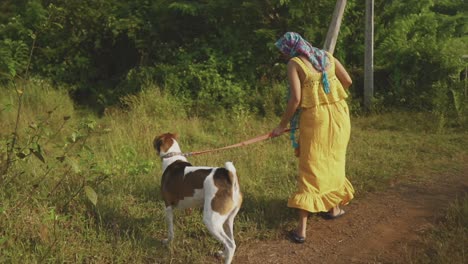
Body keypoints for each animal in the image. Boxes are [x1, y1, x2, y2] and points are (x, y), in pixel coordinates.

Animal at [154, 134, 243, 264]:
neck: (172, 157)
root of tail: (229, 177)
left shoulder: (168, 206)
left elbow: (170, 231)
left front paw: (167, 242)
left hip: (211, 221)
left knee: (230, 244)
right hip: (227, 220)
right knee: (232, 242)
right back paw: (223, 253)